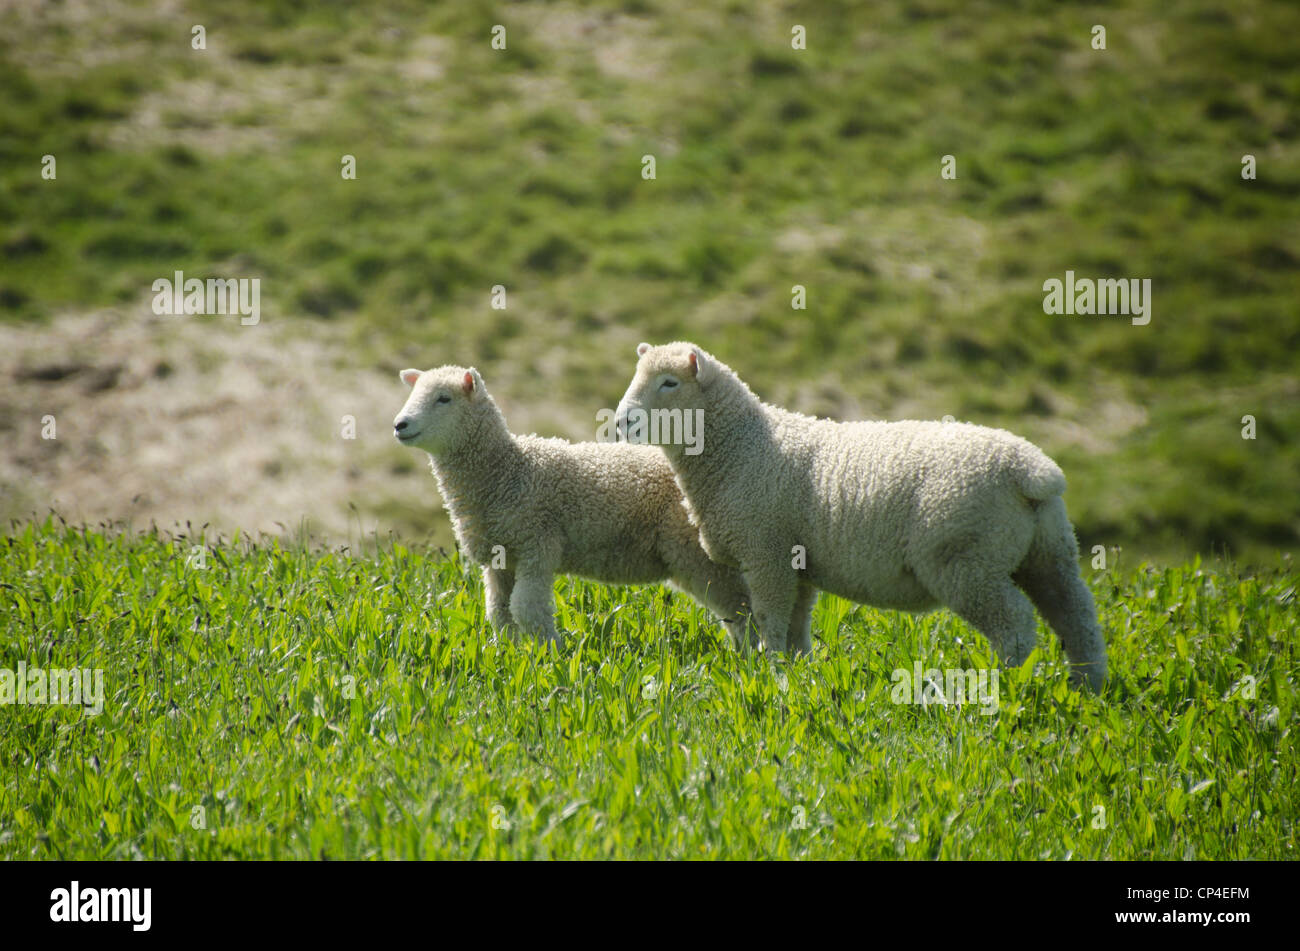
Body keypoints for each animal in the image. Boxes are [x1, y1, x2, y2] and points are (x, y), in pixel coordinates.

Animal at [390, 363, 754, 646]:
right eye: (413, 394)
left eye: (444, 398)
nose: (399, 425)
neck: (507, 471)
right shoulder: (499, 560)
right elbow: (499, 613)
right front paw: (508, 654)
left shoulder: (537, 544)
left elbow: (526, 609)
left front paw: (551, 652)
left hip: (700, 555)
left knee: (741, 607)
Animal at [616, 342, 1107, 691]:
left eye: (668, 383)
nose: (621, 421)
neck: (743, 447)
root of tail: (1031, 469)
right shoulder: (796, 562)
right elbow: (796, 627)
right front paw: (797, 674)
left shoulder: (766, 553)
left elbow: (770, 620)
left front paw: (770, 673)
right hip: (1049, 551)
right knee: (1077, 616)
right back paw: (1088, 687)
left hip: (966, 561)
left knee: (1016, 625)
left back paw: (1008, 683)